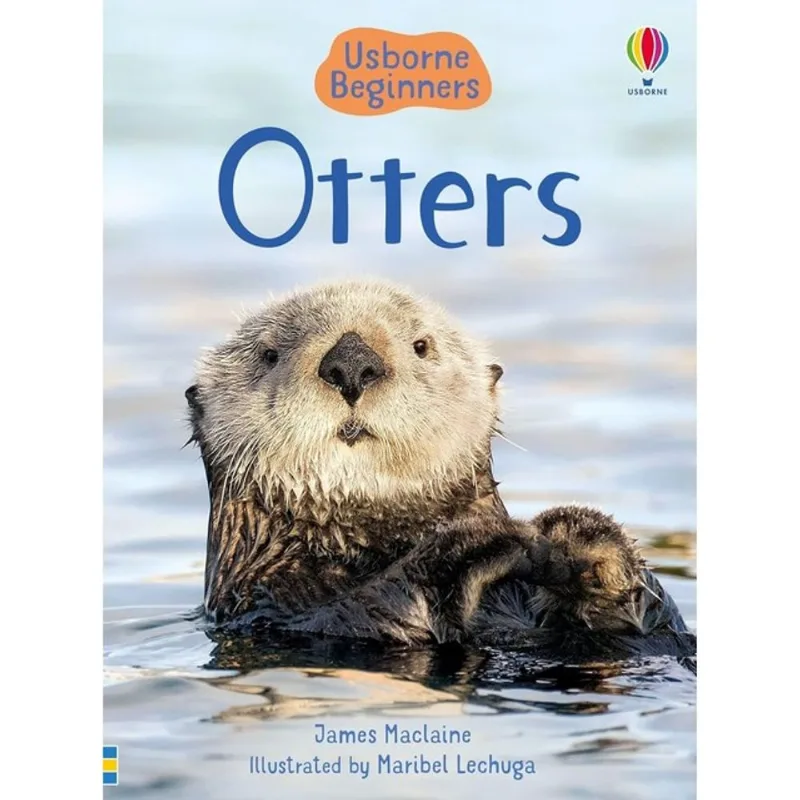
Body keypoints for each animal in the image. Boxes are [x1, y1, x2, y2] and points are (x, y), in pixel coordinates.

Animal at [186, 281, 695, 659]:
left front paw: (583, 539)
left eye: (421, 346)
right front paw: (477, 546)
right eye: (268, 354)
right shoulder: (267, 606)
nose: (351, 363)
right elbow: (354, 615)